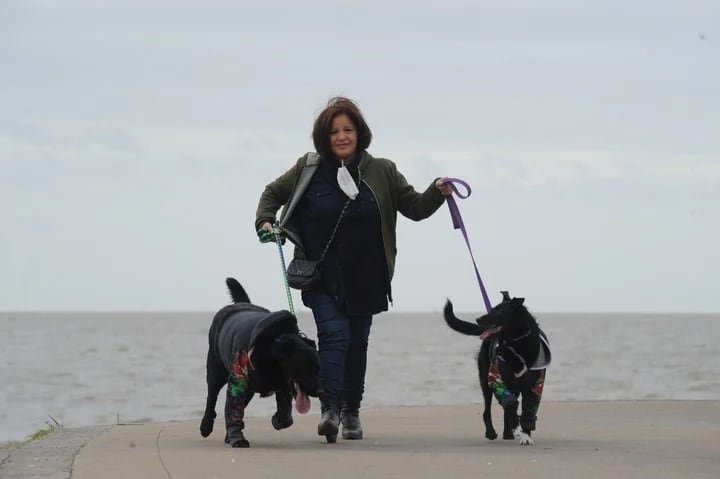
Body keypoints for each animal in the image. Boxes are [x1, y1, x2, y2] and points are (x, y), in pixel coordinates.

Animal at [198, 280, 320, 448]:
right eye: (305, 368)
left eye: (317, 368)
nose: (320, 391)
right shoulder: (238, 379)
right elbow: (233, 409)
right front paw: (238, 439)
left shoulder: (283, 386)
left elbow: (285, 415)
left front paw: (277, 420)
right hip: (215, 368)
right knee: (212, 397)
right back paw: (206, 426)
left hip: (249, 389)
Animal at [444, 292, 552, 446]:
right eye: (493, 308)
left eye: (499, 311)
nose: (478, 319)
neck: (517, 343)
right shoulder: (496, 379)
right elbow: (511, 404)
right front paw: (516, 425)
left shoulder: (535, 385)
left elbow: (528, 412)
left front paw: (526, 436)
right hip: (485, 381)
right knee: (488, 410)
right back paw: (492, 432)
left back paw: (508, 433)